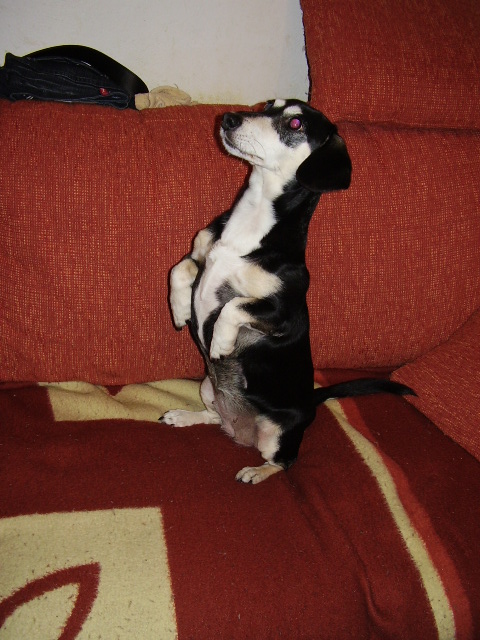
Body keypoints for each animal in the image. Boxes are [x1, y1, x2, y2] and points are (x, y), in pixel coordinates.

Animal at [161, 99, 413, 484]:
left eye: (295, 124)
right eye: (268, 106)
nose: (229, 119)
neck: (249, 226)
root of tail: (310, 402)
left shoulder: (285, 315)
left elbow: (235, 306)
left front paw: (220, 342)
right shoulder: (201, 255)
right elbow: (181, 268)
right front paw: (178, 309)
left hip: (276, 433)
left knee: (285, 461)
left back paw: (255, 471)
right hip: (207, 387)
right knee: (215, 416)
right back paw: (183, 415)